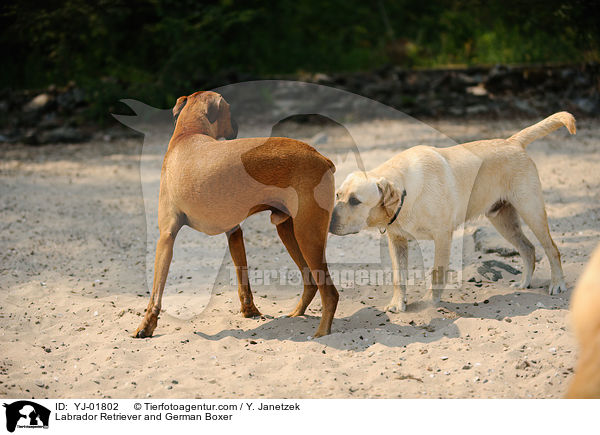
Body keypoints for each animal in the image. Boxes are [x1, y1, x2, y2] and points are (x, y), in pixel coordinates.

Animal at [133, 90, 338, 338]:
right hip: (289, 232)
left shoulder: (166, 238)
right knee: (311, 282)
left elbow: (156, 293)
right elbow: (244, 282)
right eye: (230, 109)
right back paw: (297, 314)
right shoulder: (233, 233)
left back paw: (323, 332)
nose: (238, 124)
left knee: (330, 293)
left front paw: (146, 325)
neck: (188, 135)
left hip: (307, 237)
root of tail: (319, 156)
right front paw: (250, 311)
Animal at [330, 110, 576, 312]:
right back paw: (524, 282)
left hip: (532, 211)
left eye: (355, 201)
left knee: (552, 249)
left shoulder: (443, 236)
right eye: (337, 195)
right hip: (503, 221)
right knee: (528, 249)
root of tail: (512, 141)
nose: (330, 222)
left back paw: (557, 284)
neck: (406, 191)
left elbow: (437, 272)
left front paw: (430, 302)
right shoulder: (397, 240)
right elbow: (398, 277)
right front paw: (398, 304)